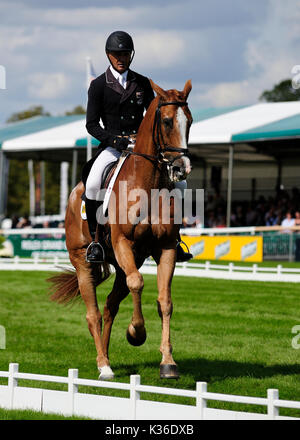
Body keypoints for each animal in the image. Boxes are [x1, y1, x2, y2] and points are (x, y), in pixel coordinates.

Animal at [47, 81, 192, 380]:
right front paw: (136, 332)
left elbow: (165, 301)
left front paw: (168, 362)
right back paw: (103, 365)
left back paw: (106, 355)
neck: (149, 184)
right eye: (166, 120)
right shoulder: (123, 241)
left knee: (110, 305)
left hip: (127, 262)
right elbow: (138, 283)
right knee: (93, 312)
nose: (181, 169)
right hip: (83, 261)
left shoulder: (166, 248)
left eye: (190, 121)